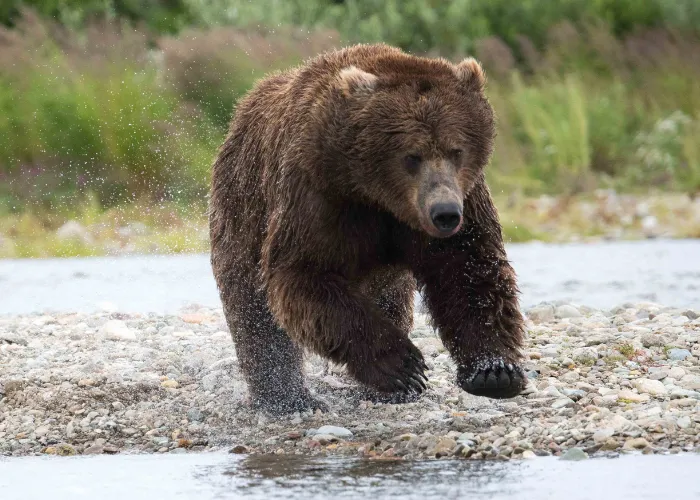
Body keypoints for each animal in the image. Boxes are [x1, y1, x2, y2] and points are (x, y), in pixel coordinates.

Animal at [208, 43, 524, 412]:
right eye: (411, 155)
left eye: (456, 150)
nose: (444, 212)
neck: (378, 196)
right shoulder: (319, 193)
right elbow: (305, 274)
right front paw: (403, 366)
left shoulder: (464, 199)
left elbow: (468, 268)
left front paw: (494, 371)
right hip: (242, 207)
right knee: (252, 309)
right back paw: (286, 396)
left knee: (391, 299)